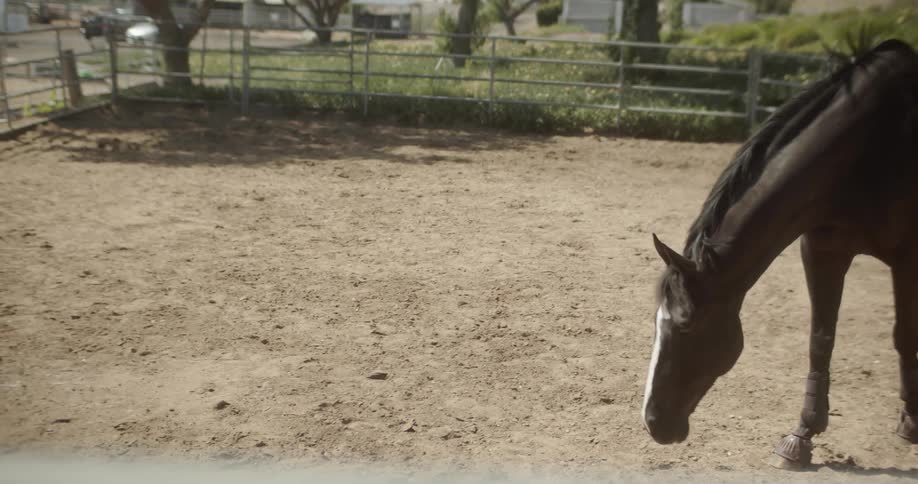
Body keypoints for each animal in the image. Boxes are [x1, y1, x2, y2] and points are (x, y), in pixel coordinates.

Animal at [640, 38, 918, 467]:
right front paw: (801, 436)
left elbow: (904, 335)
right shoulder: (823, 250)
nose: (653, 422)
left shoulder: (906, 258)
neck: (870, 148)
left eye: (685, 326)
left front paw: (911, 421)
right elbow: (820, 341)